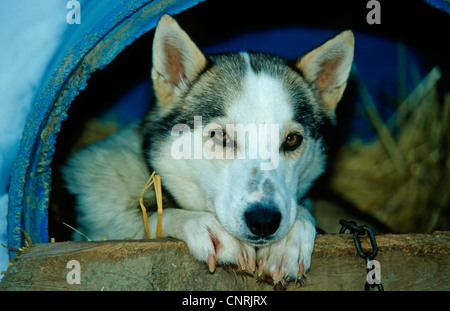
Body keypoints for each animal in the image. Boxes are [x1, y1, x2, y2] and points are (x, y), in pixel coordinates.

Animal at [61, 15, 354, 288]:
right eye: (221, 136)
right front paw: (202, 224)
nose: (264, 221)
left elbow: (301, 212)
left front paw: (290, 240)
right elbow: (152, 219)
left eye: (292, 140)